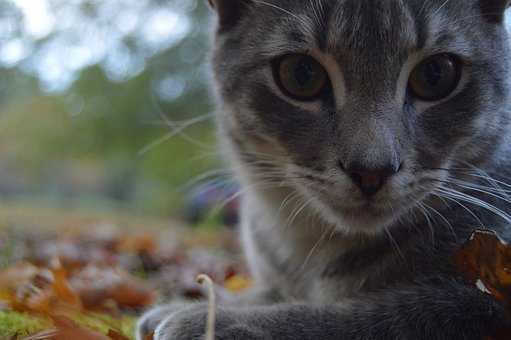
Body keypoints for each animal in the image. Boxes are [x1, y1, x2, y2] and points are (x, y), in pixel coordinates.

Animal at [138, 0, 511, 338]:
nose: (371, 171)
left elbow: (374, 316)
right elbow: (267, 291)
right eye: (301, 74)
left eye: (435, 75)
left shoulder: (481, 297)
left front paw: (213, 319)